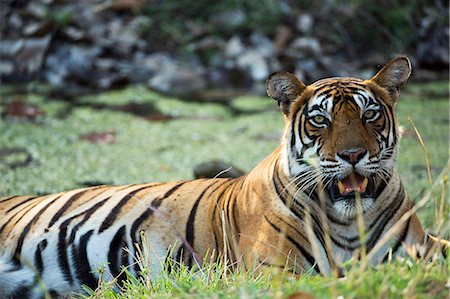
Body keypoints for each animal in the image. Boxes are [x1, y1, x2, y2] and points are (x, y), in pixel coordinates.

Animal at [0, 56, 448, 299]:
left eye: (369, 115)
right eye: (320, 120)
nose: (353, 155)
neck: (348, 219)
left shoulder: (422, 247)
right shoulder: (274, 271)